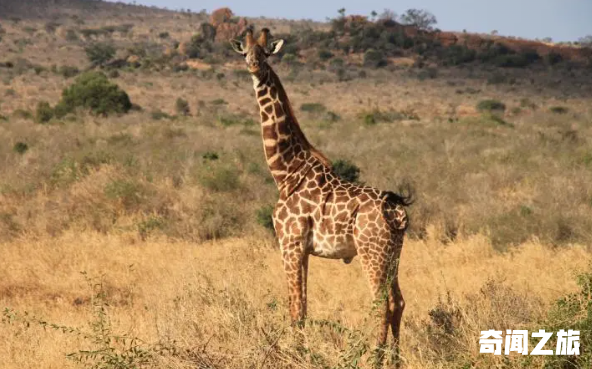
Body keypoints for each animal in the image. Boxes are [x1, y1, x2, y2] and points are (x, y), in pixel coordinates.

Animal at [231, 28, 412, 362]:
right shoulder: (303, 249)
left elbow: (294, 308)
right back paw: (394, 360)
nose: (253, 67)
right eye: (245, 52)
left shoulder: (289, 243)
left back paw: (375, 359)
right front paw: (301, 352)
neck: (286, 172)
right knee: (399, 302)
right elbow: (303, 306)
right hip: (393, 254)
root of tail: (397, 210)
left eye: (265, 53)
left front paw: (295, 355)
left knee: (382, 303)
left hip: (372, 253)